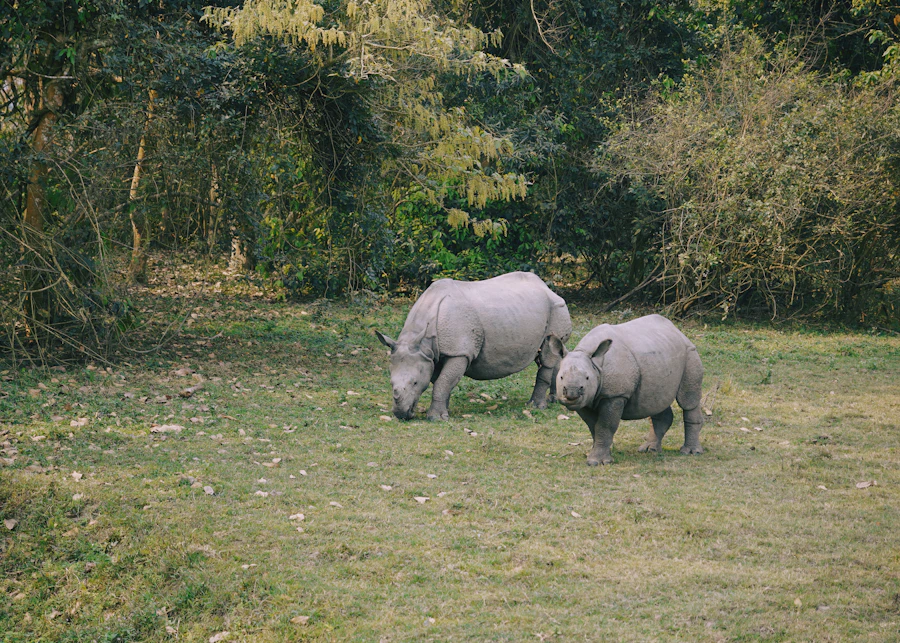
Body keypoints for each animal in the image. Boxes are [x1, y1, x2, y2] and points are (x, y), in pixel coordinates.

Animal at [375, 272, 572, 421]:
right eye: (390, 382)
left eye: (415, 382)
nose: (401, 414)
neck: (423, 340)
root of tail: (548, 288)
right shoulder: (434, 354)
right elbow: (443, 382)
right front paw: (445, 412)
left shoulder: (459, 352)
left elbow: (442, 382)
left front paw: (436, 418)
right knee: (551, 355)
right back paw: (554, 400)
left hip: (557, 307)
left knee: (547, 356)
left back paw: (536, 407)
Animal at [544, 314, 704, 465]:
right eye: (561, 377)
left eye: (588, 378)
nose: (572, 394)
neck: (596, 366)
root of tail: (678, 331)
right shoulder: (586, 400)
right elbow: (593, 426)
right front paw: (600, 453)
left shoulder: (615, 395)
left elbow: (605, 426)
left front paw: (597, 461)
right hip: (660, 354)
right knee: (656, 401)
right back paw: (649, 449)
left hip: (690, 352)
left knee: (688, 401)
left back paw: (690, 452)